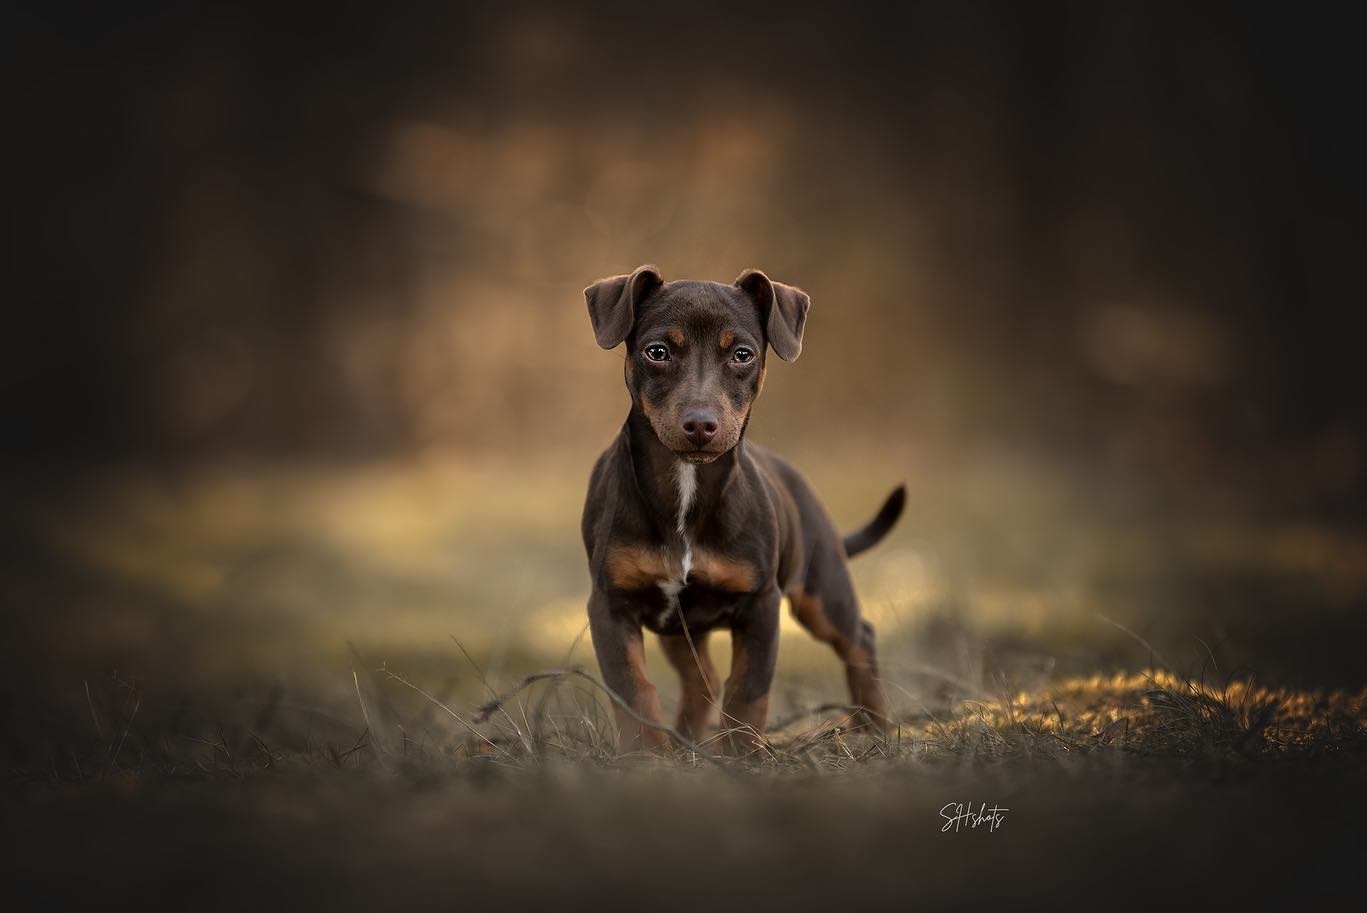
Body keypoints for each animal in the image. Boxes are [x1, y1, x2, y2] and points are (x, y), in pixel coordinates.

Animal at [579, 267, 907, 754]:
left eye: (742, 354)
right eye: (657, 352)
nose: (700, 424)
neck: (687, 489)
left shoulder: (760, 605)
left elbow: (748, 690)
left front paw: (739, 755)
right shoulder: (610, 605)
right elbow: (634, 691)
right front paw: (648, 757)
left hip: (822, 588)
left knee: (859, 639)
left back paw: (876, 726)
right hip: (681, 628)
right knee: (703, 680)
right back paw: (686, 743)